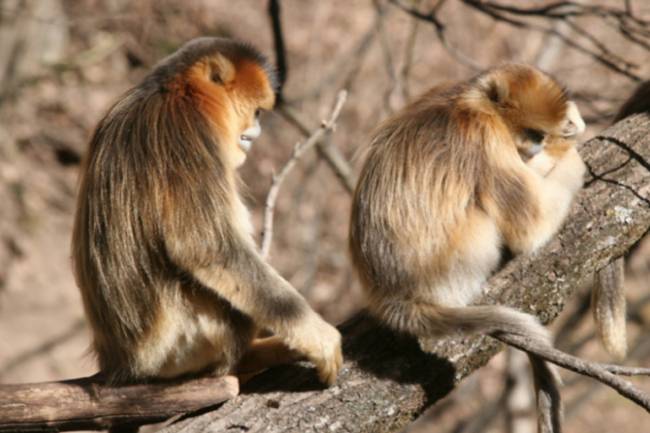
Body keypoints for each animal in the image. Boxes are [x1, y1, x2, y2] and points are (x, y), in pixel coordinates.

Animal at [72, 37, 342, 385]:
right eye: (256, 112)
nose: (255, 134)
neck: (174, 92)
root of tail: (123, 365)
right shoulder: (188, 130)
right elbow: (206, 248)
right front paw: (317, 336)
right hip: (179, 344)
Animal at [349, 64, 586, 432]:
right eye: (534, 134)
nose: (536, 149)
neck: (470, 100)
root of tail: (394, 297)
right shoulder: (487, 137)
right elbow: (532, 228)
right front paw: (572, 155)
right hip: (462, 256)